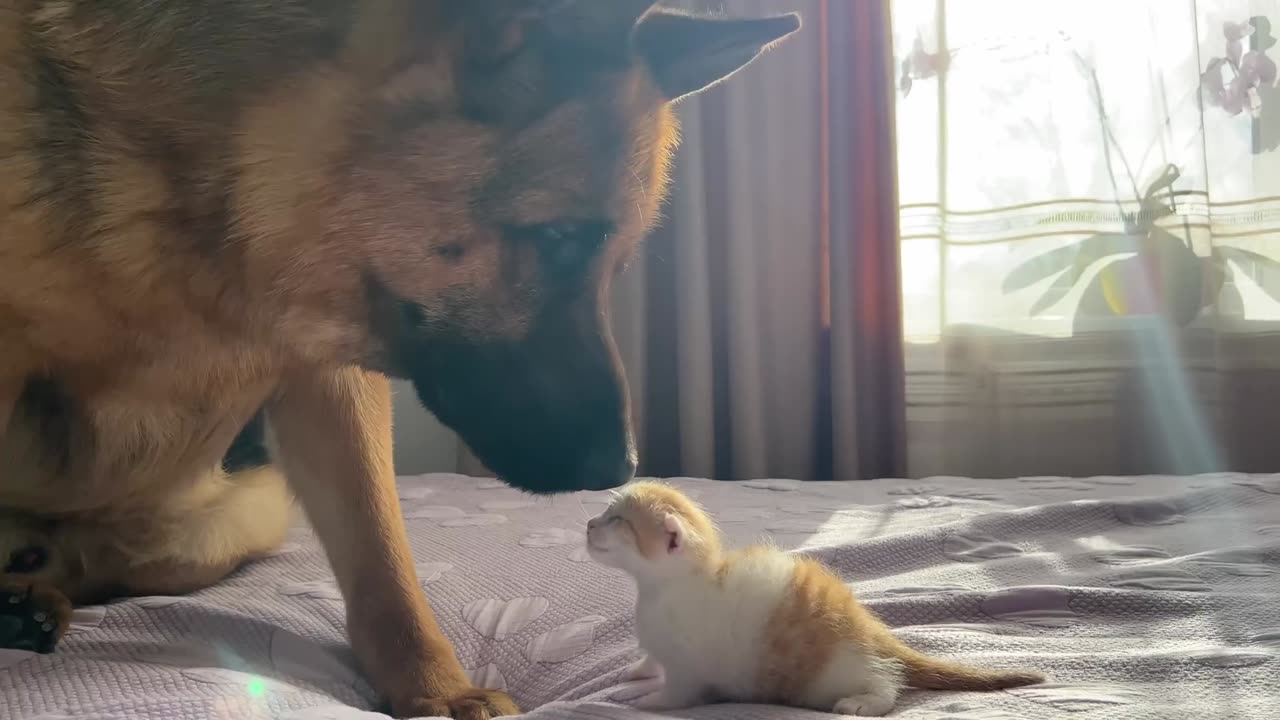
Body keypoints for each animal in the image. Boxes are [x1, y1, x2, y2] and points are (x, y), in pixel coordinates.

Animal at [0, 2, 793, 712]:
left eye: (614, 262)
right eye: (560, 237)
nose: (620, 471)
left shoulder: (331, 381)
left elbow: (381, 554)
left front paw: (439, 689)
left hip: (240, 516)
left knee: (98, 562)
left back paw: (32, 593)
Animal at [586, 479, 1044, 712]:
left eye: (619, 520)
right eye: (606, 513)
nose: (589, 524)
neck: (660, 590)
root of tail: (869, 630)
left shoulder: (689, 668)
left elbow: (674, 696)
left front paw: (640, 700)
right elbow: (651, 659)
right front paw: (637, 672)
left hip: (828, 675)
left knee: (886, 679)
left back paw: (866, 702)